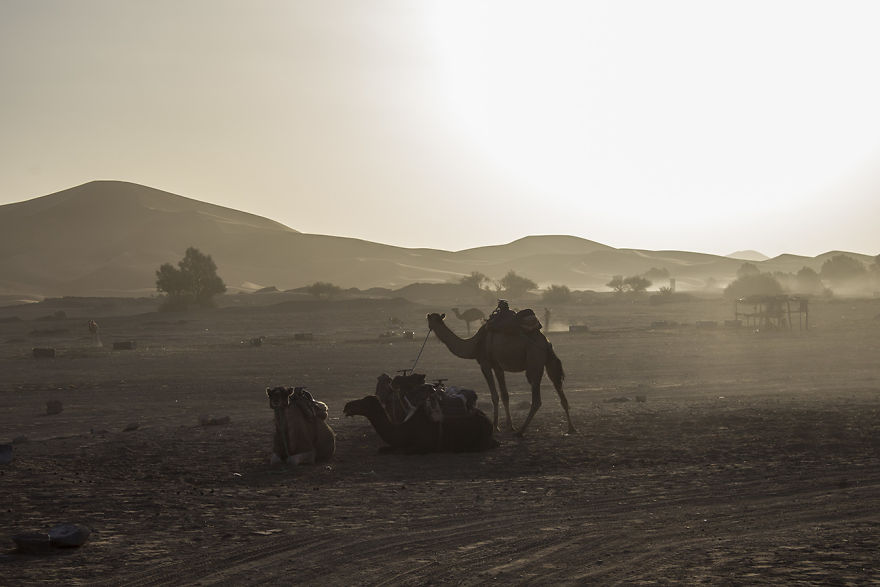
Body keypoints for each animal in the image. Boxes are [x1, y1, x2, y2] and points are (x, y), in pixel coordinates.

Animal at [343, 395, 497, 453]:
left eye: (364, 402)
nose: (347, 405)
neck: (406, 430)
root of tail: (488, 420)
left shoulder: (424, 445)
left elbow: (405, 451)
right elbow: (384, 449)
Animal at [426, 312, 575, 437]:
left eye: (431, 319)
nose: (429, 323)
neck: (474, 345)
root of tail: (546, 343)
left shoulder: (485, 364)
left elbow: (495, 396)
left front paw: (496, 427)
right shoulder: (498, 367)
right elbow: (505, 395)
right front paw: (510, 426)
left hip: (534, 361)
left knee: (537, 398)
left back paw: (521, 431)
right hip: (549, 362)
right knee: (558, 387)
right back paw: (571, 428)